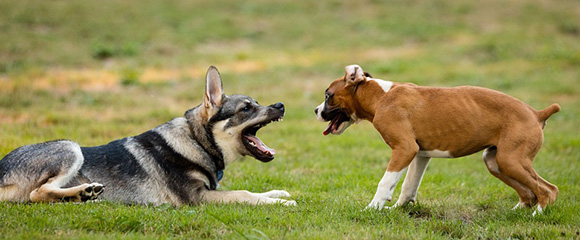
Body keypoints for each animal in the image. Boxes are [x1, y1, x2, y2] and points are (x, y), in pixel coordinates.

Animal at [0, 65, 296, 206]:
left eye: (256, 102)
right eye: (246, 108)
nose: (282, 105)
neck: (197, 142)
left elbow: (255, 191)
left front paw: (279, 193)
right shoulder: (198, 198)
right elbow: (245, 194)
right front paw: (282, 203)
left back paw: (85, 194)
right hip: (70, 147)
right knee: (37, 194)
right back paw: (84, 191)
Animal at [314, 64, 560, 216]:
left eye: (328, 96)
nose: (315, 110)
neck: (381, 96)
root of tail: (536, 113)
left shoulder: (404, 149)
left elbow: (385, 183)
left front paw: (372, 208)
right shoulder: (419, 154)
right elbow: (408, 187)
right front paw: (397, 211)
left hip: (511, 161)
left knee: (548, 189)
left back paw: (537, 215)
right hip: (496, 161)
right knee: (529, 193)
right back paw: (516, 213)